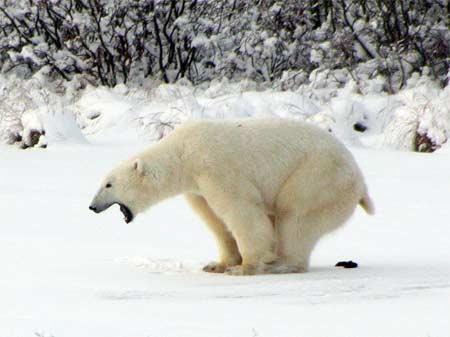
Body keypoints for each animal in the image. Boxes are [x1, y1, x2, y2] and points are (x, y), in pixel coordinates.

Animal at [88, 119, 372, 274]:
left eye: (108, 184)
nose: (92, 207)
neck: (182, 154)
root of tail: (360, 182)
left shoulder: (215, 167)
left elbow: (241, 210)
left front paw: (244, 267)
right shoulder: (197, 188)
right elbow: (215, 220)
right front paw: (217, 264)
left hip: (318, 177)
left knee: (295, 217)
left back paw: (280, 263)